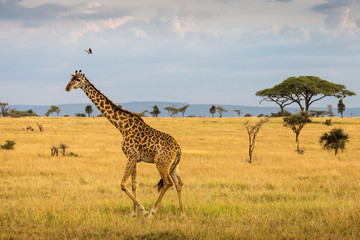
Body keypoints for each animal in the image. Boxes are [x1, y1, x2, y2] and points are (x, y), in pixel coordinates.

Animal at [65, 70, 184, 218]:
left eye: (77, 80)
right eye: (71, 79)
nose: (67, 88)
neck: (121, 126)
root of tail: (178, 148)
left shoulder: (131, 156)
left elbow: (122, 184)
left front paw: (143, 211)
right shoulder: (134, 158)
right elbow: (134, 184)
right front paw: (134, 214)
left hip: (161, 162)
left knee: (168, 183)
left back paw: (152, 212)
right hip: (173, 165)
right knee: (179, 183)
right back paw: (182, 214)